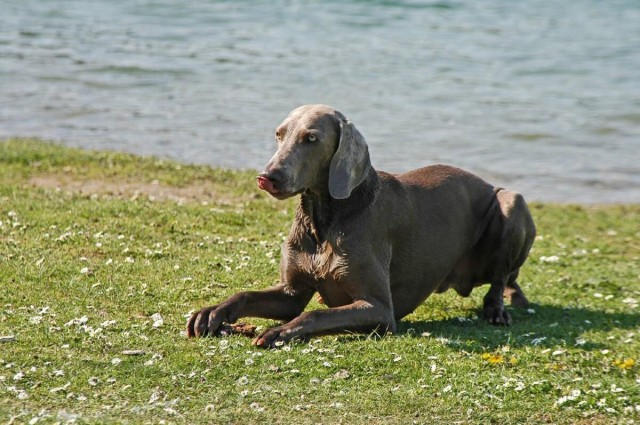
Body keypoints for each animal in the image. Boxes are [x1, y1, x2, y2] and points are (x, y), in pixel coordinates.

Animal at [186, 104, 536, 346]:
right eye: (279, 134)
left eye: (311, 138)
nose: (267, 177)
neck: (325, 221)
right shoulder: (290, 293)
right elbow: (246, 295)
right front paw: (212, 312)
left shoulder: (380, 309)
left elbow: (314, 313)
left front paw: (279, 333)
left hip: (511, 202)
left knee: (499, 279)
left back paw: (495, 310)